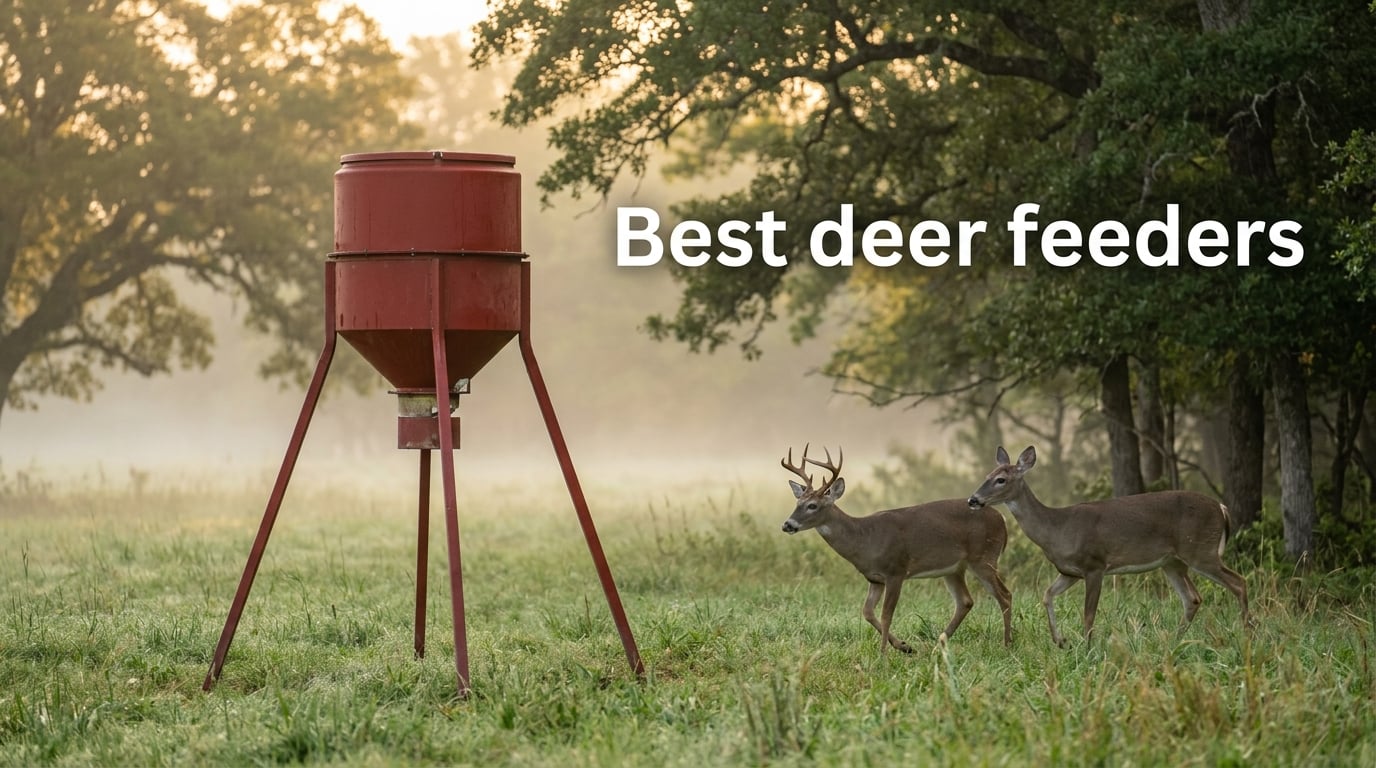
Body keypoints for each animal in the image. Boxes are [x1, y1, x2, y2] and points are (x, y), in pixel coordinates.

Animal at [781, 445, 1013, 654]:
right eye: (797, 502)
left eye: (813, 505)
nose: (787, 525)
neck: (864, 538)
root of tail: (1002, 520)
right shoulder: (874, 578)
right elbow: (867, 612)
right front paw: (904, 646)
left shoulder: (896, 571)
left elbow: (886, 614)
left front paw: (882, 654)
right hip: (954, 568)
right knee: (965, 601)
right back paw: (938, 645)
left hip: (984, 557)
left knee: (1005, 595)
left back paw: (1006, 645)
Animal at [967, 445, 1249, 647]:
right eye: (986, 476)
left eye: (1001, 479)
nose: (973, 499)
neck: (1057, 527)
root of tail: (1221, 508)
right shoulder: (1069, 571)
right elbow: (1047, 595)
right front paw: (1060, 640)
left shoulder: (1095, 564)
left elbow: (1088, 613)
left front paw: (1087, 647)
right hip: (1173, 562)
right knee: (1193, 598)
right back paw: (1175, 641)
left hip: (1201, 550)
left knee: (1238, 582)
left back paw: (1249, 631)